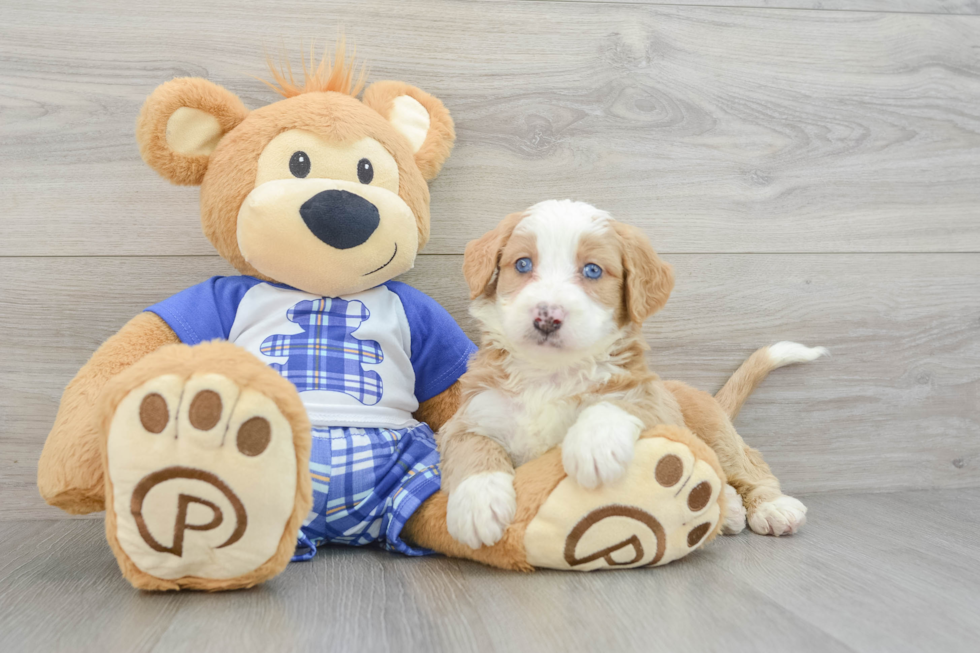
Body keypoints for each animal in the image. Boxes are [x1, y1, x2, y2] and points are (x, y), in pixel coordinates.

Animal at [440, 200, 816, 552]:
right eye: (522, 264)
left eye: (592, 270)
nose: (547, 317)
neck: (550, 375)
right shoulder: (469, 415)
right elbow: (473, 446)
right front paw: (477, 505)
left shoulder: (651, 402)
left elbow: (617, 403)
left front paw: (594, 447)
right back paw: (732, 511)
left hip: (716, 433)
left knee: (749, 464)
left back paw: (772, 507)